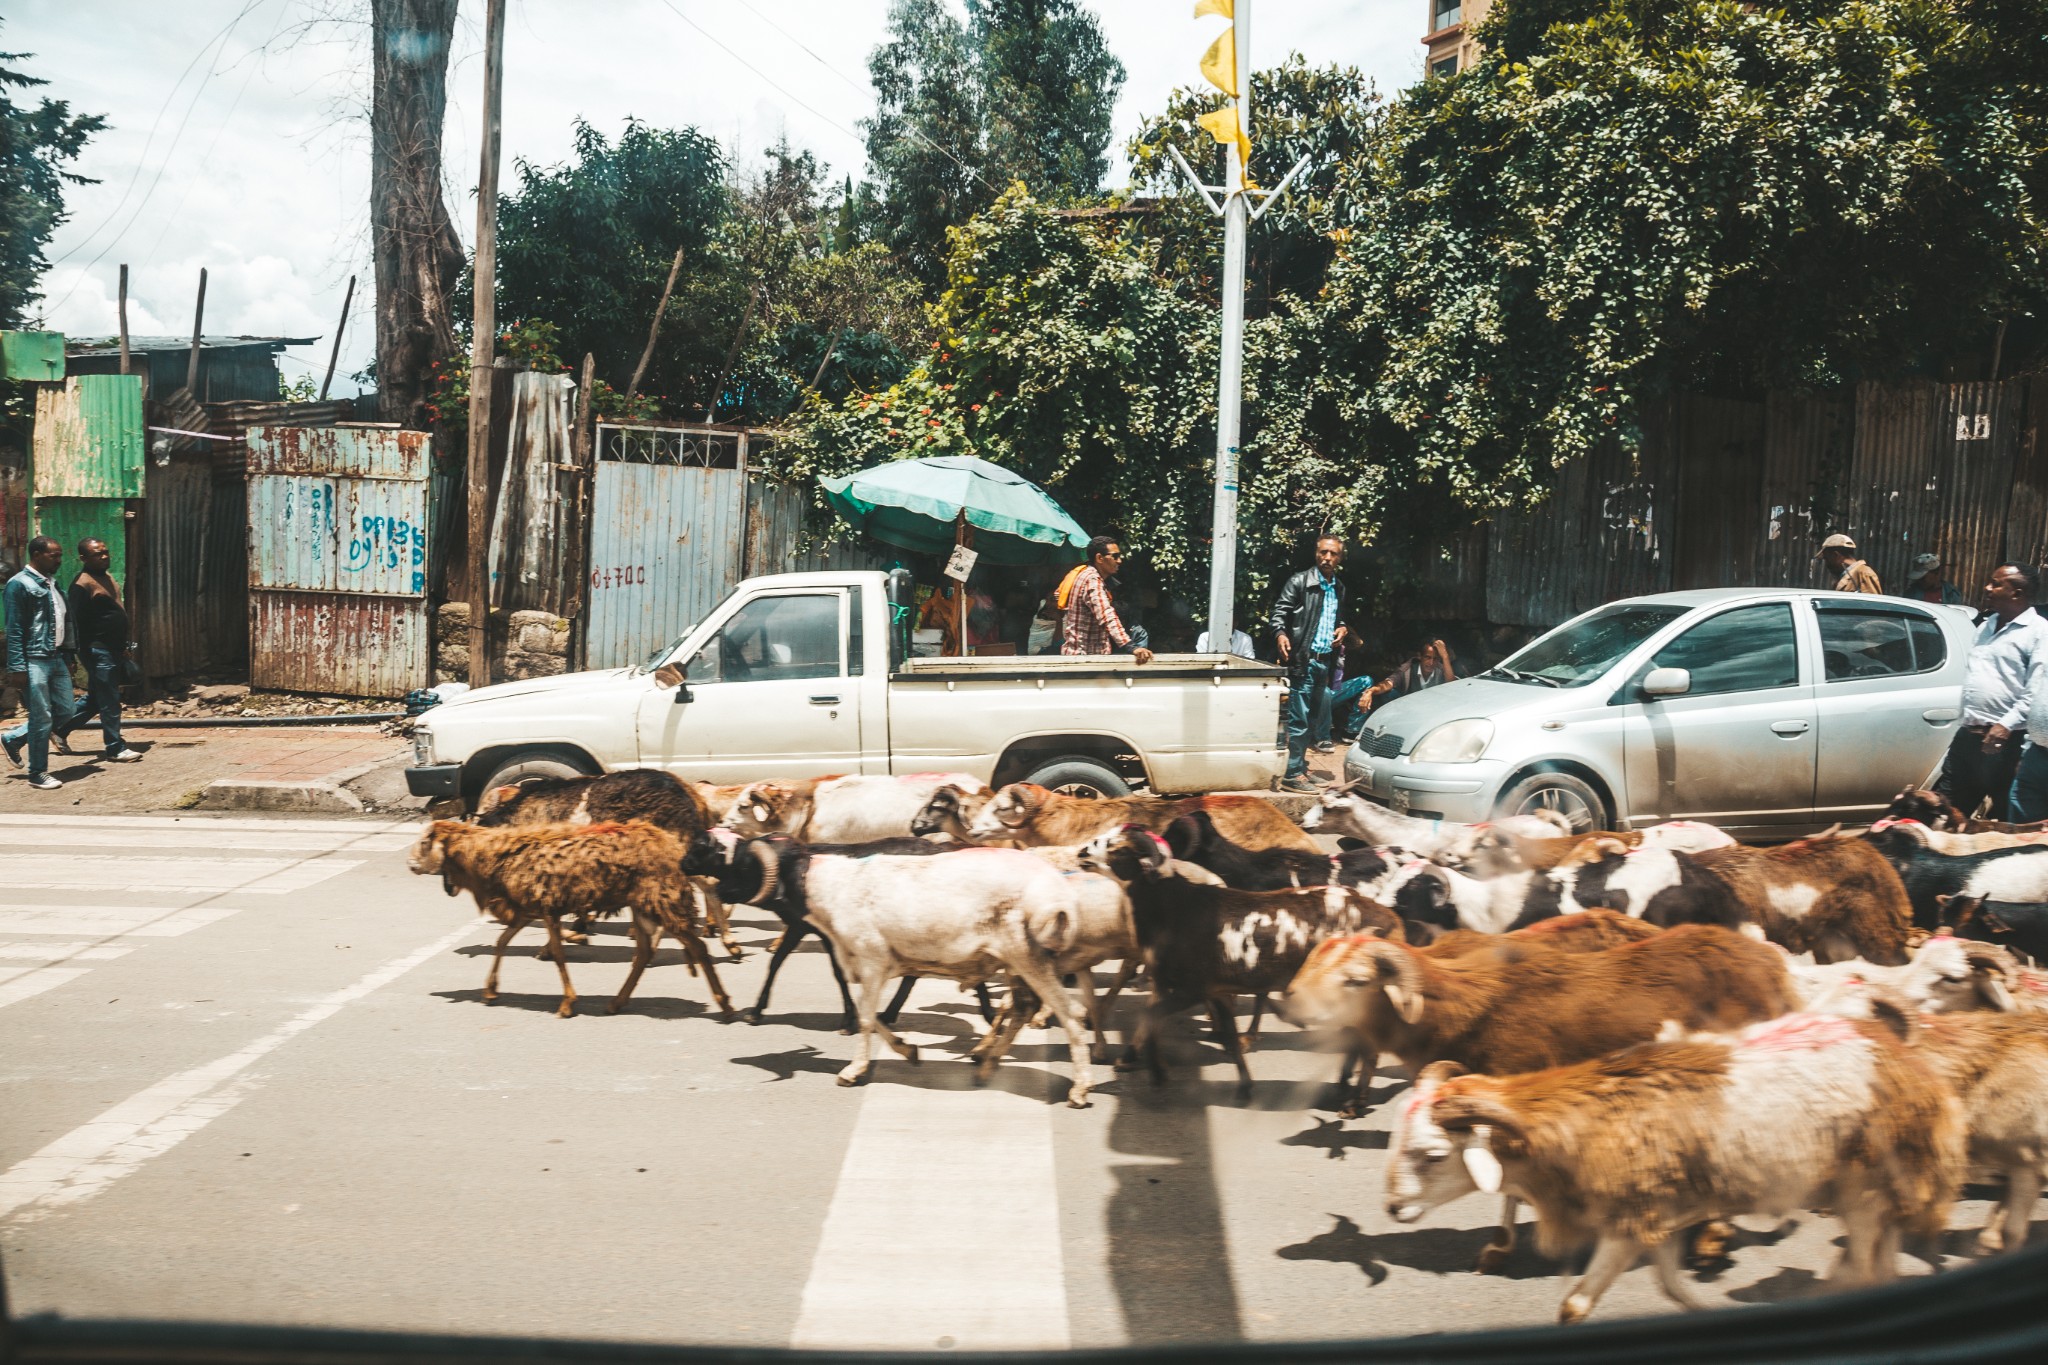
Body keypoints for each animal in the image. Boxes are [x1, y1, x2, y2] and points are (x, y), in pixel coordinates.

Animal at [403, 818, 733, 1019]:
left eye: (425, 843)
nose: (409, 865)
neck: (490, 858)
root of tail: (673, 846)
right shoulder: (527, 909)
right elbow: (501, 942)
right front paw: (490, 990)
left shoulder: (547, 907)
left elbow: (559, 956)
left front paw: (567, 1003)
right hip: (645, 904)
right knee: (643, 953)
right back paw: (616, 1002)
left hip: (661, 899)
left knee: (696, 948)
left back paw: (725, 1004)